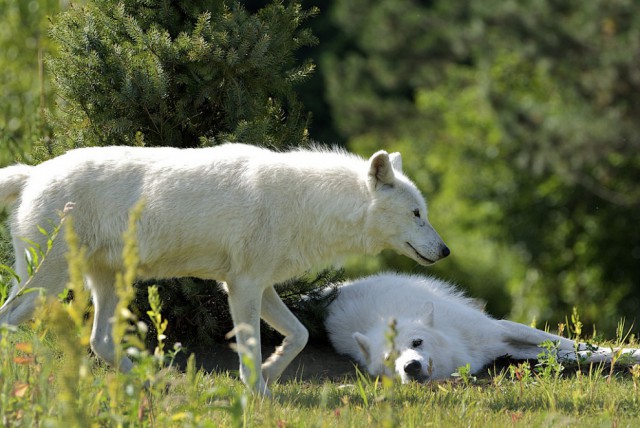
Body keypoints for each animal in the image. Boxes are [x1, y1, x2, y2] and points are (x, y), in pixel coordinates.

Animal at [1, 143, 450, 394]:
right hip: (47, 283)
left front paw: (269, 376)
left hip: (110, 285)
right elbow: (251, 346)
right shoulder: (242, 287)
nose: (445, 250)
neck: (306, 203)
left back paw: (148, 382)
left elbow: (300, 335)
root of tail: (33, 172)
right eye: (416, 215)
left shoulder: (260, 286)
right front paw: (257, 394)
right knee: (10, 319)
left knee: (100, 343)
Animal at [328, 272, 636, 382]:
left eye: (417, 343)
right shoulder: (507, 348)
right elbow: (575, 355)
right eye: (390, 359)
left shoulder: (501, 330)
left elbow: (578, 346)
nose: (411, 367)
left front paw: (630, 355)